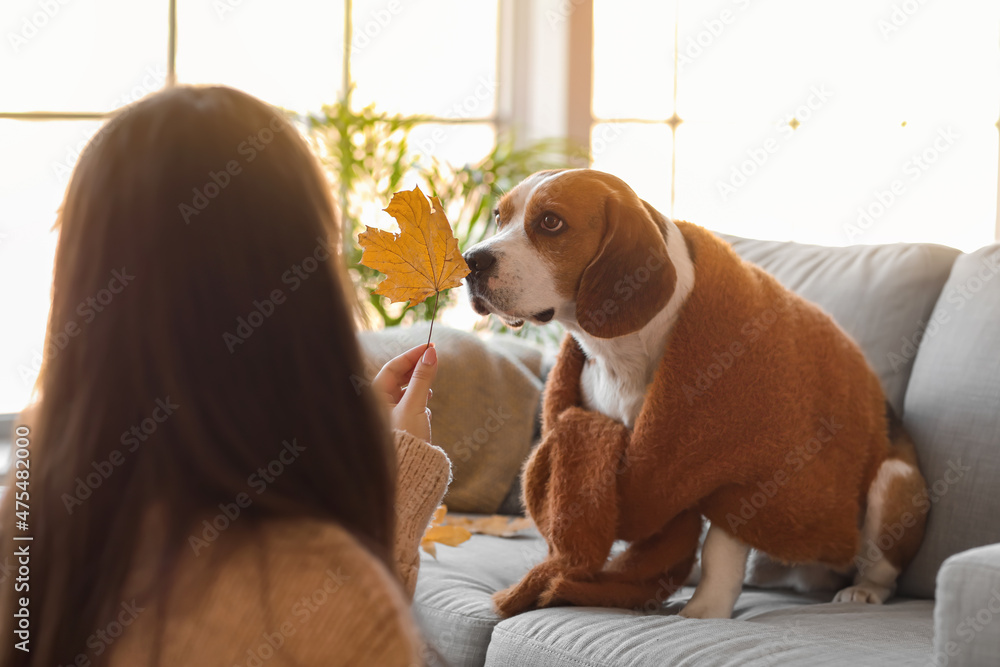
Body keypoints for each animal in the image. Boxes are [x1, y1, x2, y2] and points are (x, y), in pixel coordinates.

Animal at [464, 170, 924, 620]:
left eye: (551, 222)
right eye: (499, 216)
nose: (470, 261)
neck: (624, 353)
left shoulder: (742, 472)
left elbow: (720, 549)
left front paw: (705, 610)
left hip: (894, 481)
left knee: (882, 569)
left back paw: (863, 590)